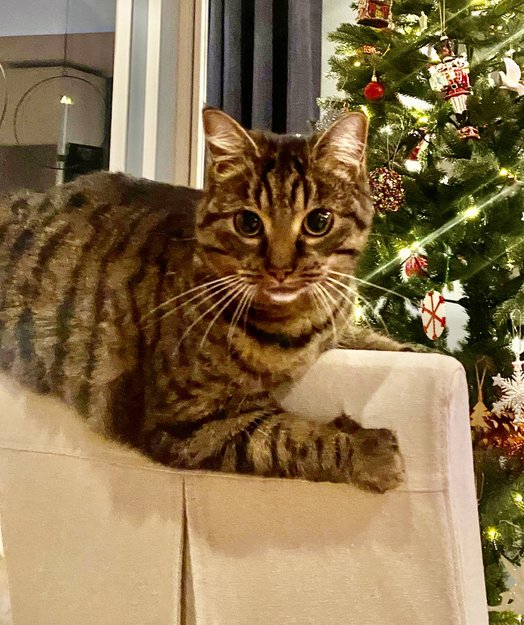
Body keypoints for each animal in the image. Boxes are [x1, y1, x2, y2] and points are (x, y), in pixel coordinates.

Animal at [0, 109, 405, 492]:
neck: (299, 321)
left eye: (319, 221)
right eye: (248, 223)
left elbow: (374, 339)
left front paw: (411, 349)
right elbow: (287, 436)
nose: (280, 270)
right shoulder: (189, 422)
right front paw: (365, 449)